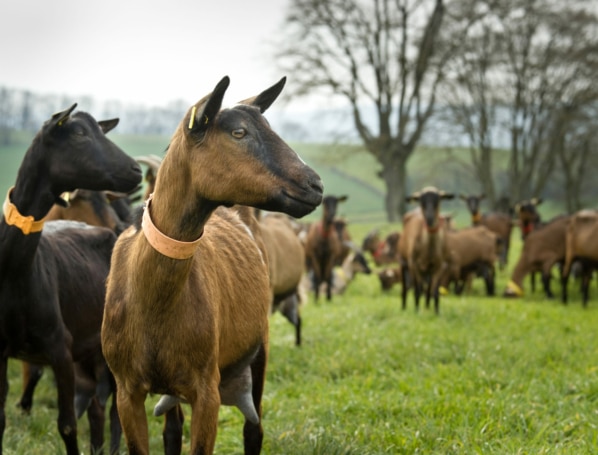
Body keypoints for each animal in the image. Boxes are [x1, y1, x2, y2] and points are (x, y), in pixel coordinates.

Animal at [0, 105, 143, 454]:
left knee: (116, 408)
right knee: (96, 406)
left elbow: (66, 424)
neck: (16, 273)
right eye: (79, 133)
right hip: (87, 349)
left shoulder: (59, 347)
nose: (135, 170)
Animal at [101, 76, 326, 454]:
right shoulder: (126, 390)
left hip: (258, 349)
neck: (152, 299)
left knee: (254, 430)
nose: (316, 185)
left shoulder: (206, 389)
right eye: (238, 132)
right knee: (172, 431)